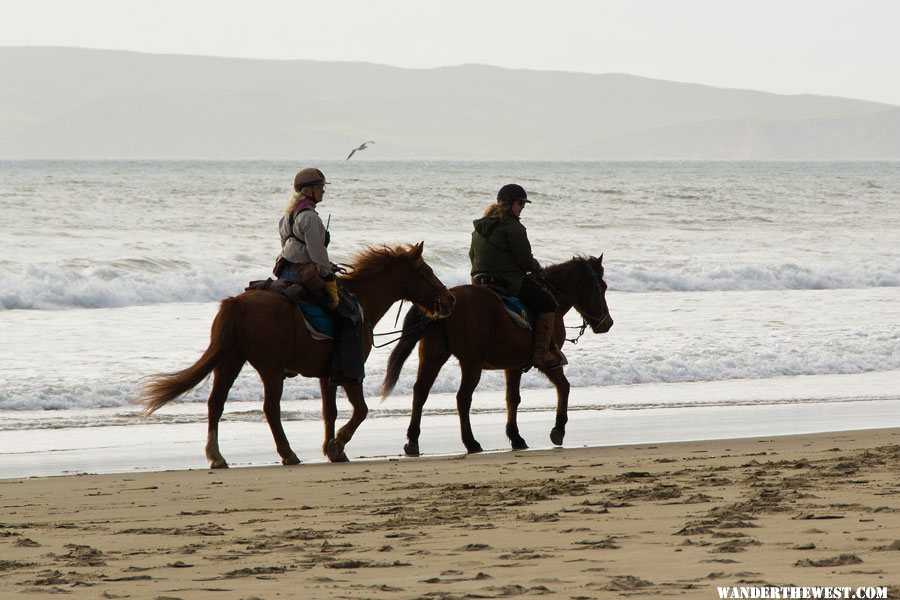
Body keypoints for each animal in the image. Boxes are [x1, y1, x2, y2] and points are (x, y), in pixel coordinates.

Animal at [141, 241, 458, 466]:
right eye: (427, 271)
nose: (449, 299)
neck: (362, 300)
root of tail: (237, 303)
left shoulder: (326, 374)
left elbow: (329, 411)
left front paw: (332, 449)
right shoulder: (350, 372)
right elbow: (361, 410)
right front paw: (338, 443)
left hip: (230, 361)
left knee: (215, 404)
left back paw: (216, 456)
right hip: (270, 370)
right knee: (270, 409)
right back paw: (287, 453)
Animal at [380, 253, 612, 454]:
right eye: (603, 287)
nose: (607, 323)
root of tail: (446, 301)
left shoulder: (514, 364)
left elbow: (512, 398)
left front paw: (516, 437)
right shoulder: (545, 361)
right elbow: (563, 387)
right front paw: (558, 429)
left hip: (432, 356)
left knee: (420, 392)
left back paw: (413, 441)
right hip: (471, 363)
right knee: (462, 398)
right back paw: (471, 442)